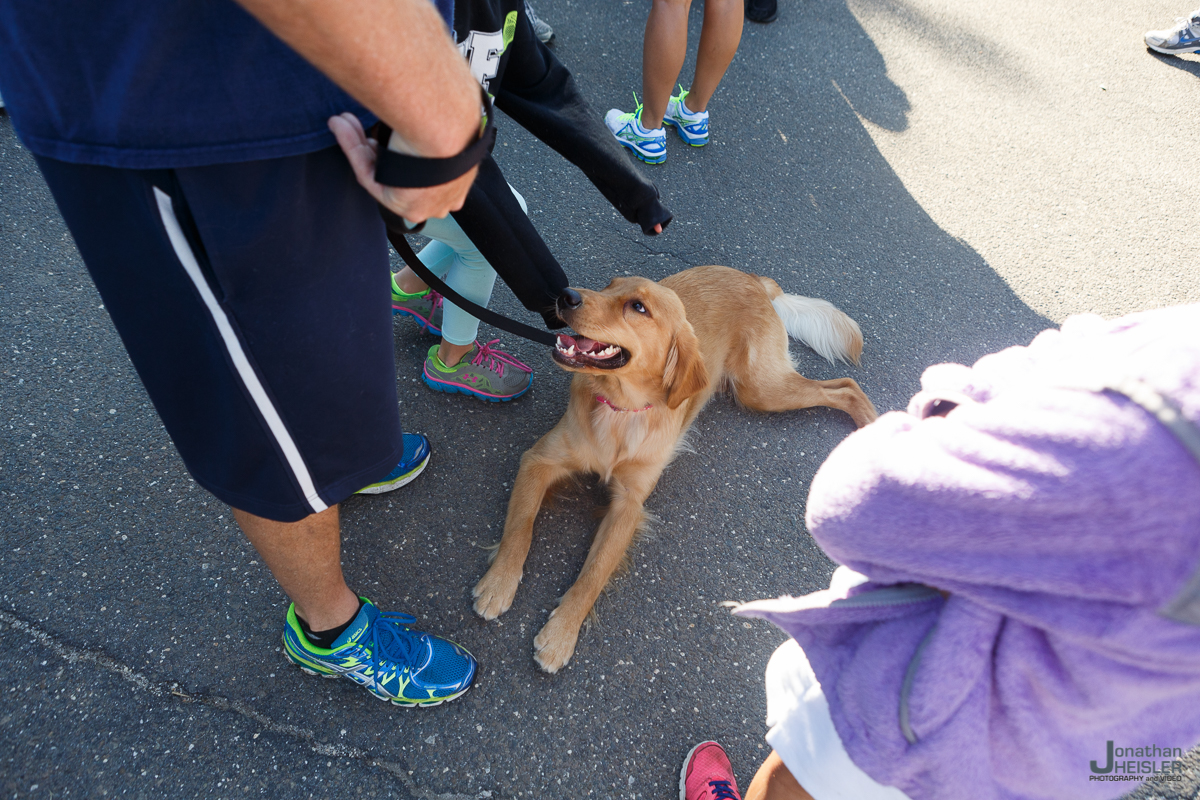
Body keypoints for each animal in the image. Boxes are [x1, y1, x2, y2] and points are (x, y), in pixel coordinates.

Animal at [472, 266, 878, 671]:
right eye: (609, 286)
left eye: (638, 307)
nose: (566, 295)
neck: (621, 409)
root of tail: (751, 278)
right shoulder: (538, 460)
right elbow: (520, 529)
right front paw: (498, 584)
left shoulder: (628, 504)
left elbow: (594, 574)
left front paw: (561, 634)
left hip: (762, 389)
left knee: (846, 387)